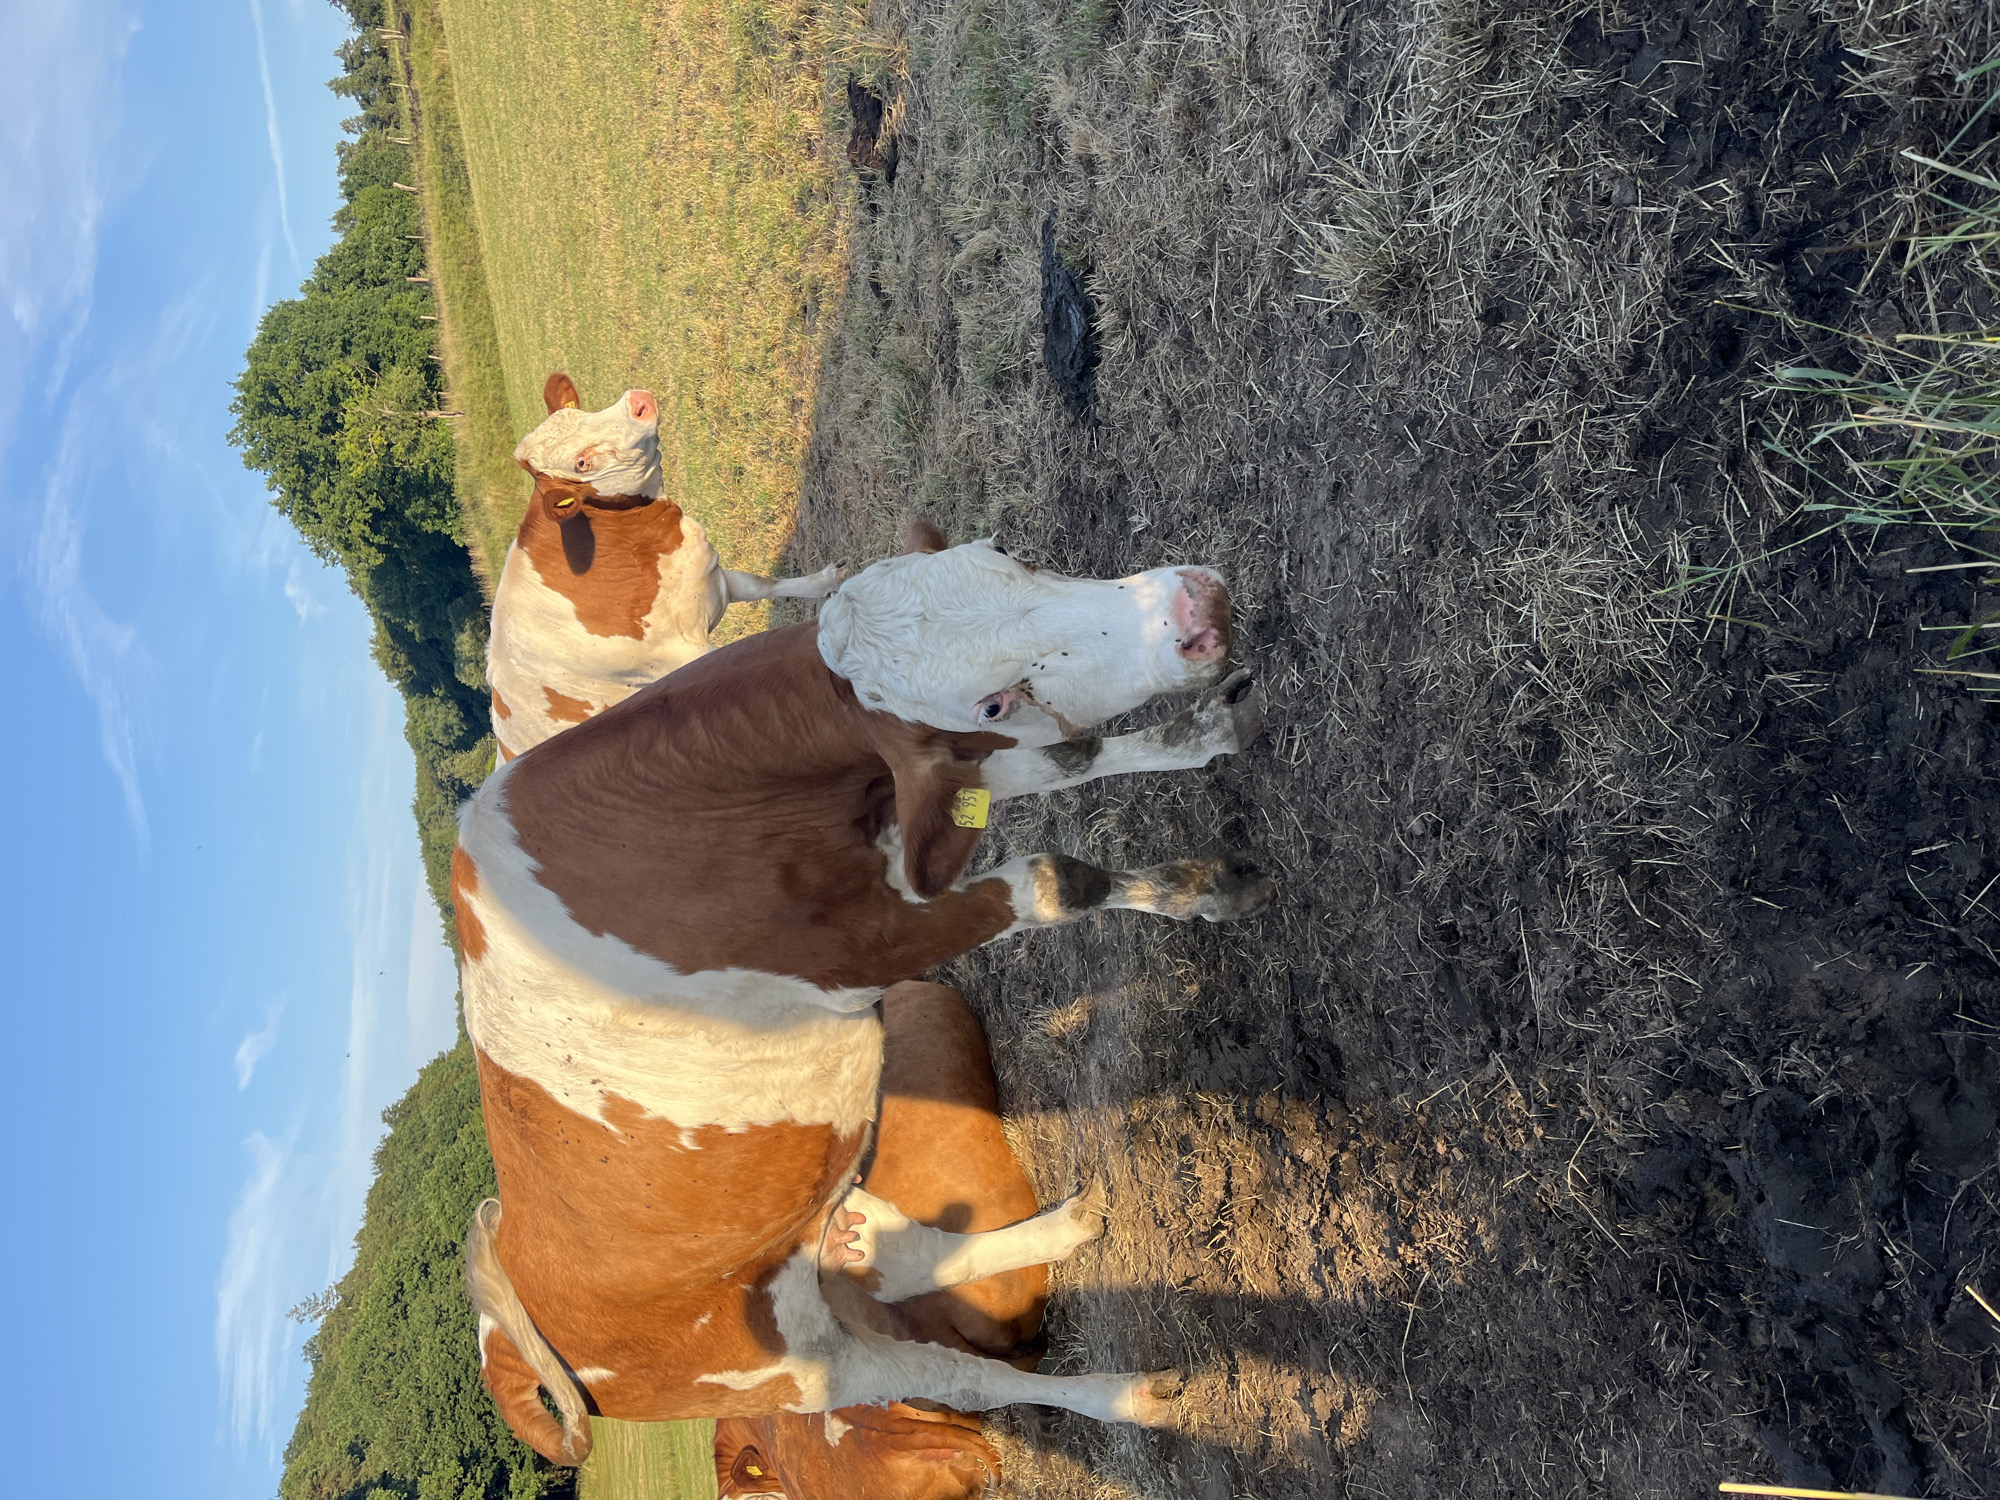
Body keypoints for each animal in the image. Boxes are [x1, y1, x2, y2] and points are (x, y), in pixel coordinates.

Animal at [487, 372, 841, 759]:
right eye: (581, 464)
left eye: (575, 410)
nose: (637, 403)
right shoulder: (681, 656)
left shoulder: (710, 576)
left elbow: (766, 584)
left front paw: (828, 582)